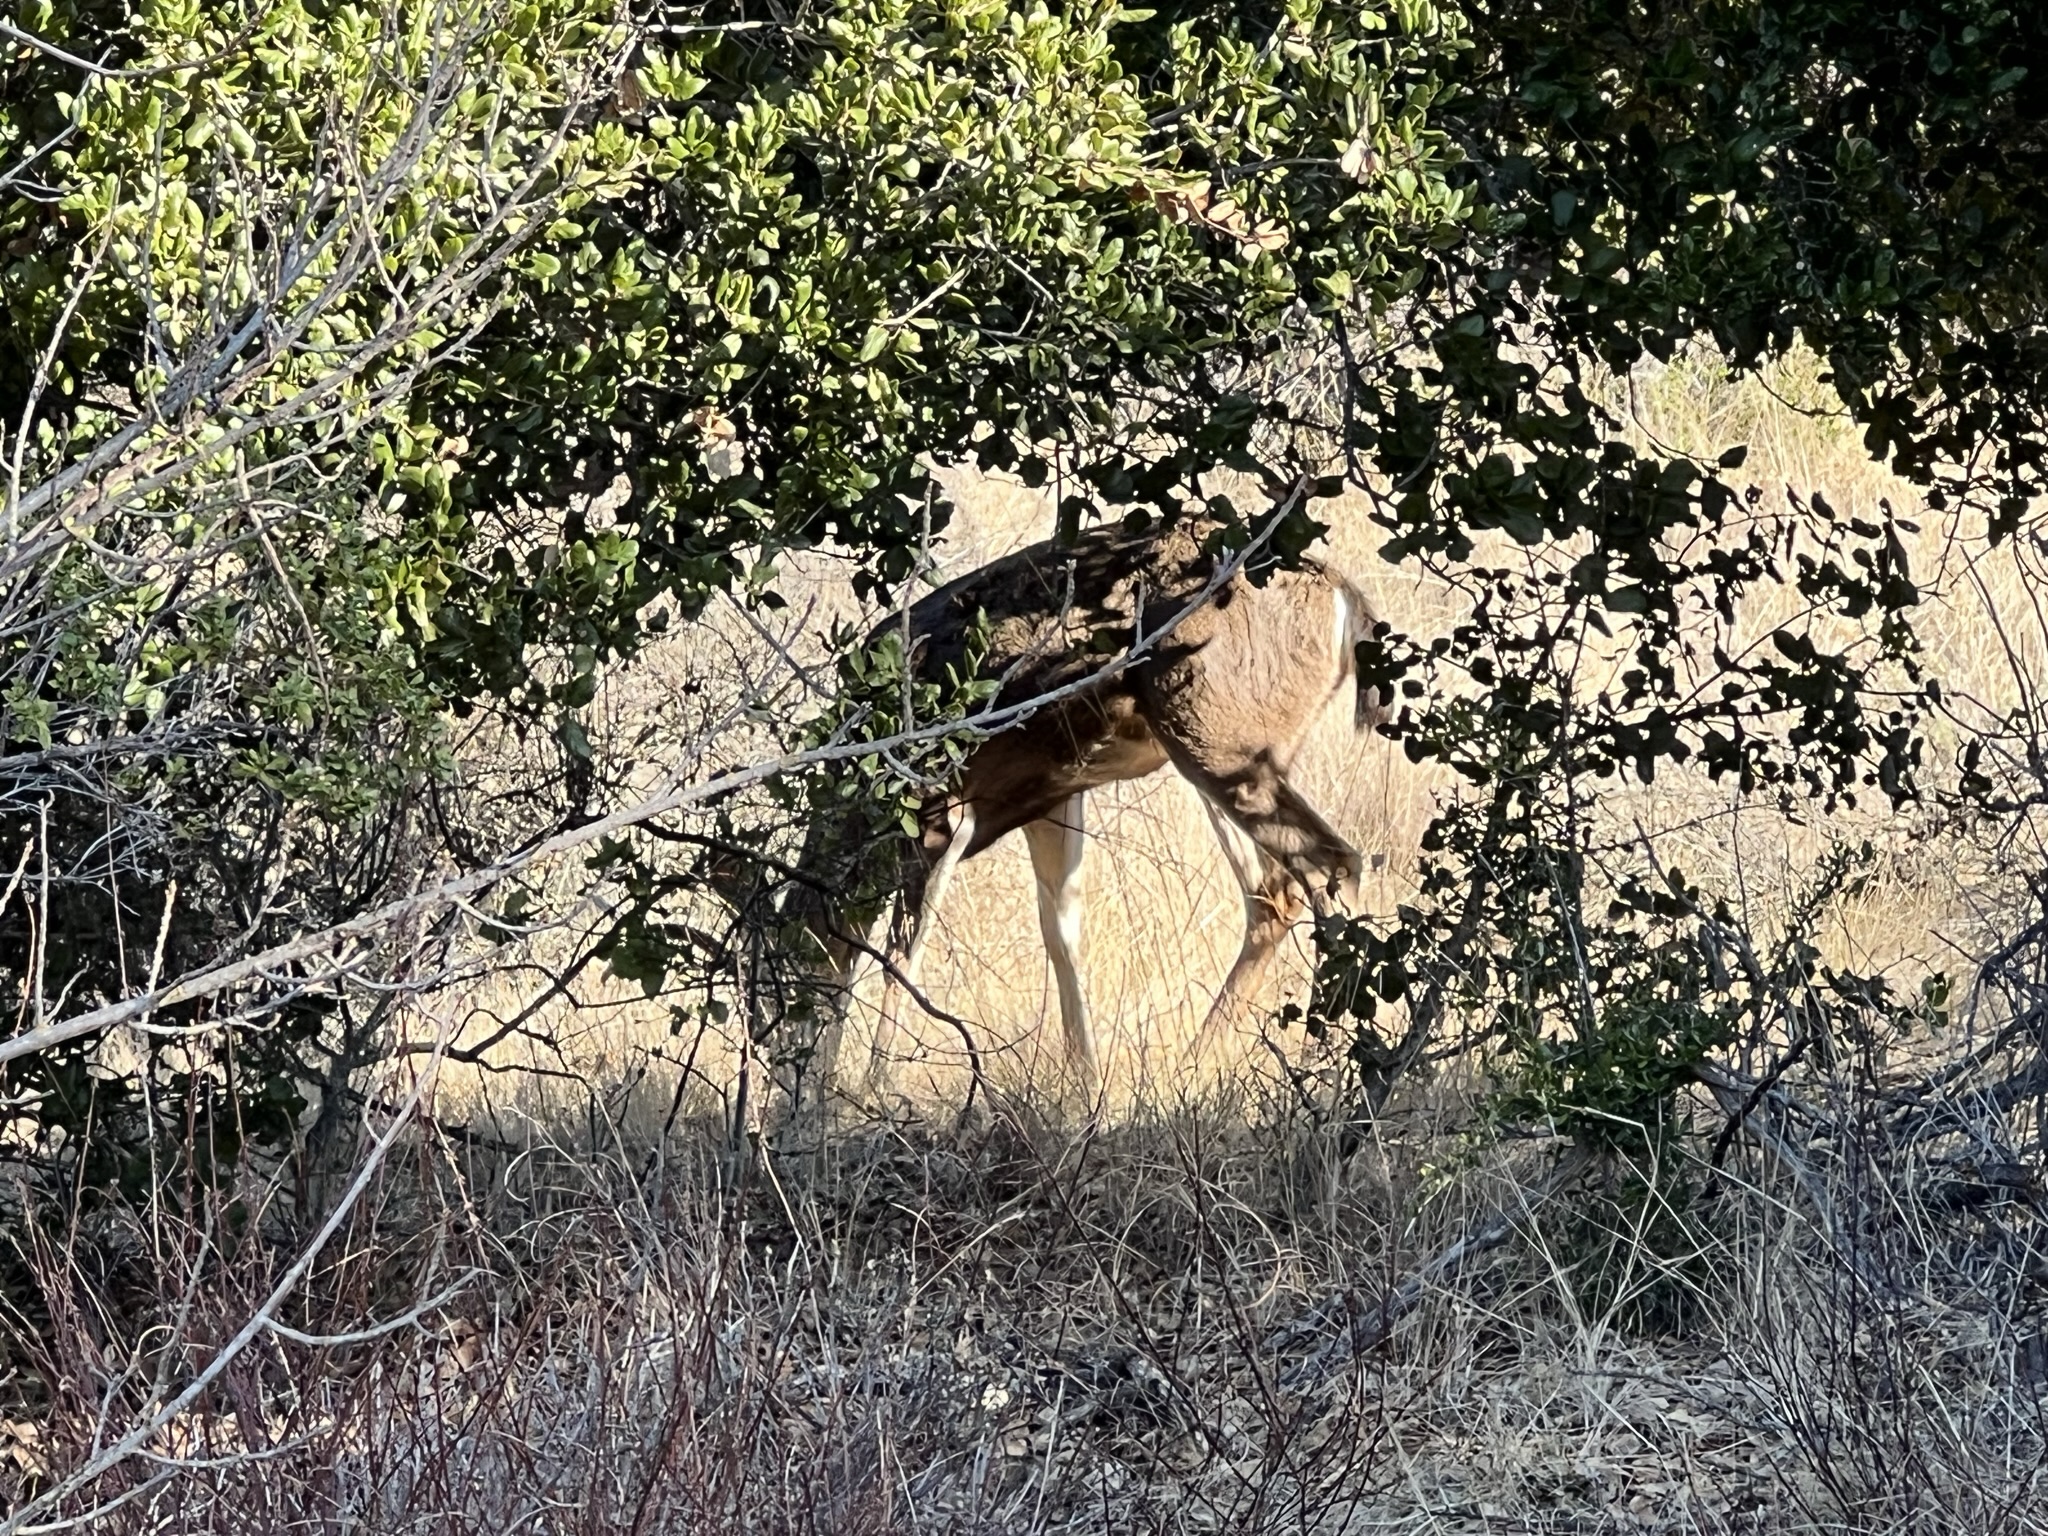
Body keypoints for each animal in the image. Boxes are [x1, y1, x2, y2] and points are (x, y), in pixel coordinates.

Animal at [789, 504, 1388, 1101]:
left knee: (1329, 866)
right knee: (1274, 890)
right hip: (1214, 745)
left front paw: (865, 1094)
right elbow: (1060, 929)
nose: (788, 1078)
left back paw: (1324, 1073)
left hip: (1215, 733)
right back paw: (1194, 1069)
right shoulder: (1052, 800)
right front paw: (1084, 1086)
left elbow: (898, 955)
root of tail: (1343, 598)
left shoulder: (939, 813)